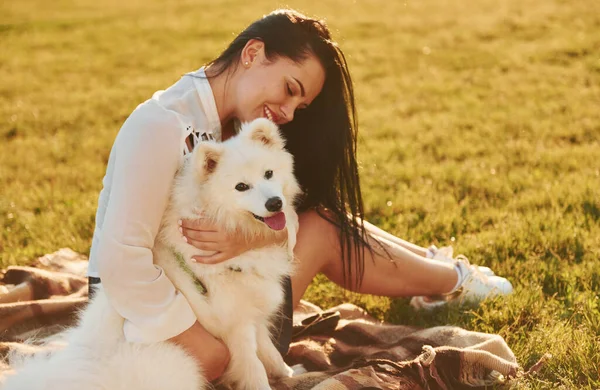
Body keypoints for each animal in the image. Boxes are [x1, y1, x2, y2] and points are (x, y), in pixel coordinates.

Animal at [0, 118, 300, 390]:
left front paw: (288, 372)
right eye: (241, 186)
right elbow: (254, 367)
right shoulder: (236, 325)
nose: (274, 203)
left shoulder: (254, 310)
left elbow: (269, 350)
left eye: (269, 173)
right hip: (181, 363)